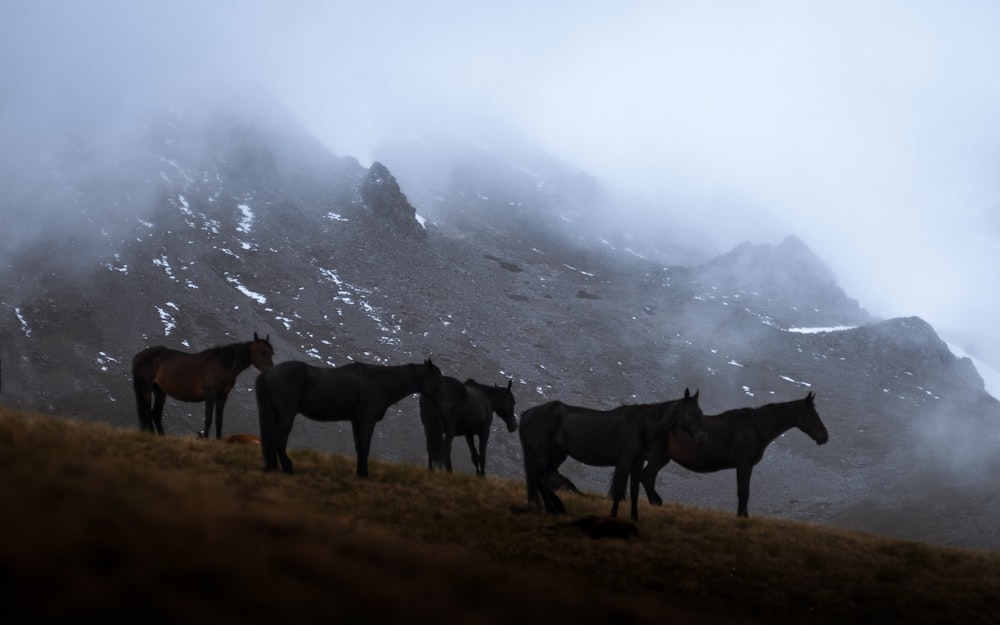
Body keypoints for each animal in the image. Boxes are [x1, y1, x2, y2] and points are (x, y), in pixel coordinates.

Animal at [133, 332, 276, 438]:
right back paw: (152, 435)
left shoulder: (223, 397)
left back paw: (162, 436)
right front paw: (206, 439)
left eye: (271, 352)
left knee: (156, 414)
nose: (270, 370)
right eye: (263, 352)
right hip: (146, 388)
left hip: (159, 391)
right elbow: (208, 419)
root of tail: (138, 356)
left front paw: (219, 441)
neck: (223, 365)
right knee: (148, 412)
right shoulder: (210, 395)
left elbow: (219, 421)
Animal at [254, 358, 446, 476]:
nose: (444, 405)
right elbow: (365, 447)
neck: (378, 382)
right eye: (438, 380)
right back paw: (288, 467)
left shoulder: (356, 421)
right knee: (279, 440)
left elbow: (359, 447)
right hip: (286, 414)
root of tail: (269, 372)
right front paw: (365, 474)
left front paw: (360, 473)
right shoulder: (367, 421)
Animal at [520, 390, 708, 520]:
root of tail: (527, 414)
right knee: (542, 480)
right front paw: (613, 516)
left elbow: (634, 490)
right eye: (689, 413)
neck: (642, 426)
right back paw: (553, 509)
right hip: (544, 454)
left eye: (700, 412)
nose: (701, 437)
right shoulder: (625, 461)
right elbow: (618, 490)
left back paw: (557, 508)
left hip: (557, 456)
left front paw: (634, 518)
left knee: (542, 479)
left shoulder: (637, 462)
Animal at [640, 390, 828, 516]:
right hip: (657, 457)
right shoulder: (744, 464)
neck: (755, 427)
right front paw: (742, 517)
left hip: (663, 458)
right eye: (812, 414)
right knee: (648, 477)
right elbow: (743, 492)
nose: (824, 437)